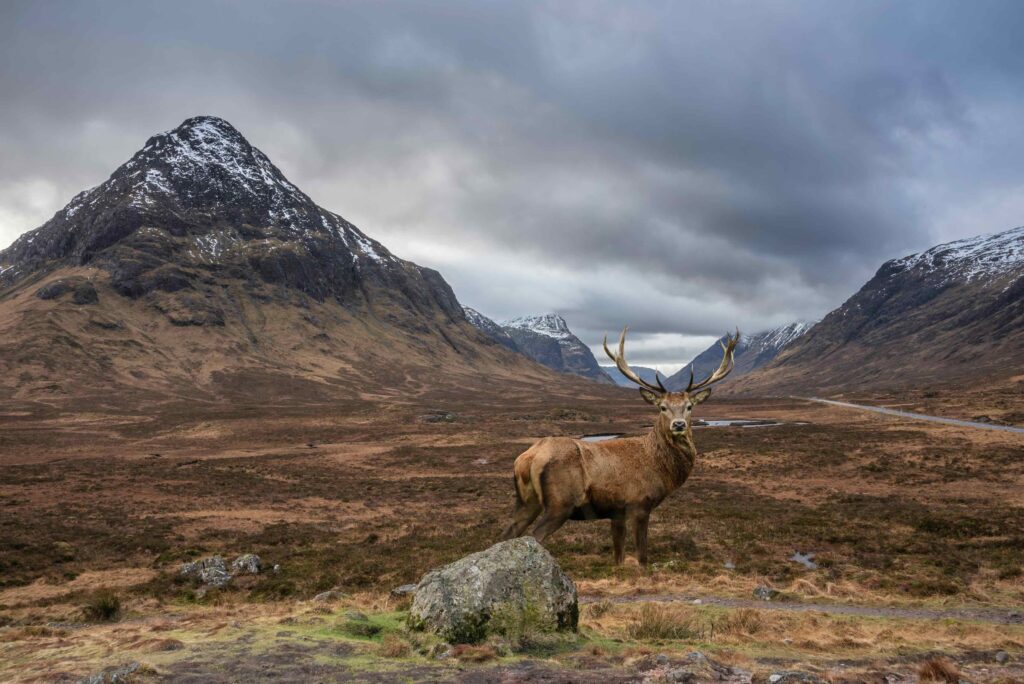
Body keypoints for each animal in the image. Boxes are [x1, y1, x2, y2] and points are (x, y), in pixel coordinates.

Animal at [500, 327, 739, 565]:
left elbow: (619, 555)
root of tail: (527, 458)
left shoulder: (616, 512)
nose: (679, 425)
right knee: (535, 535)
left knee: (508, 533)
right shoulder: (639, 503)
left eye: (689, 406)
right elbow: (642, 555)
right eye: (662, 407)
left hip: (526, 501)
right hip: (560, 503)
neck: (660, 468)